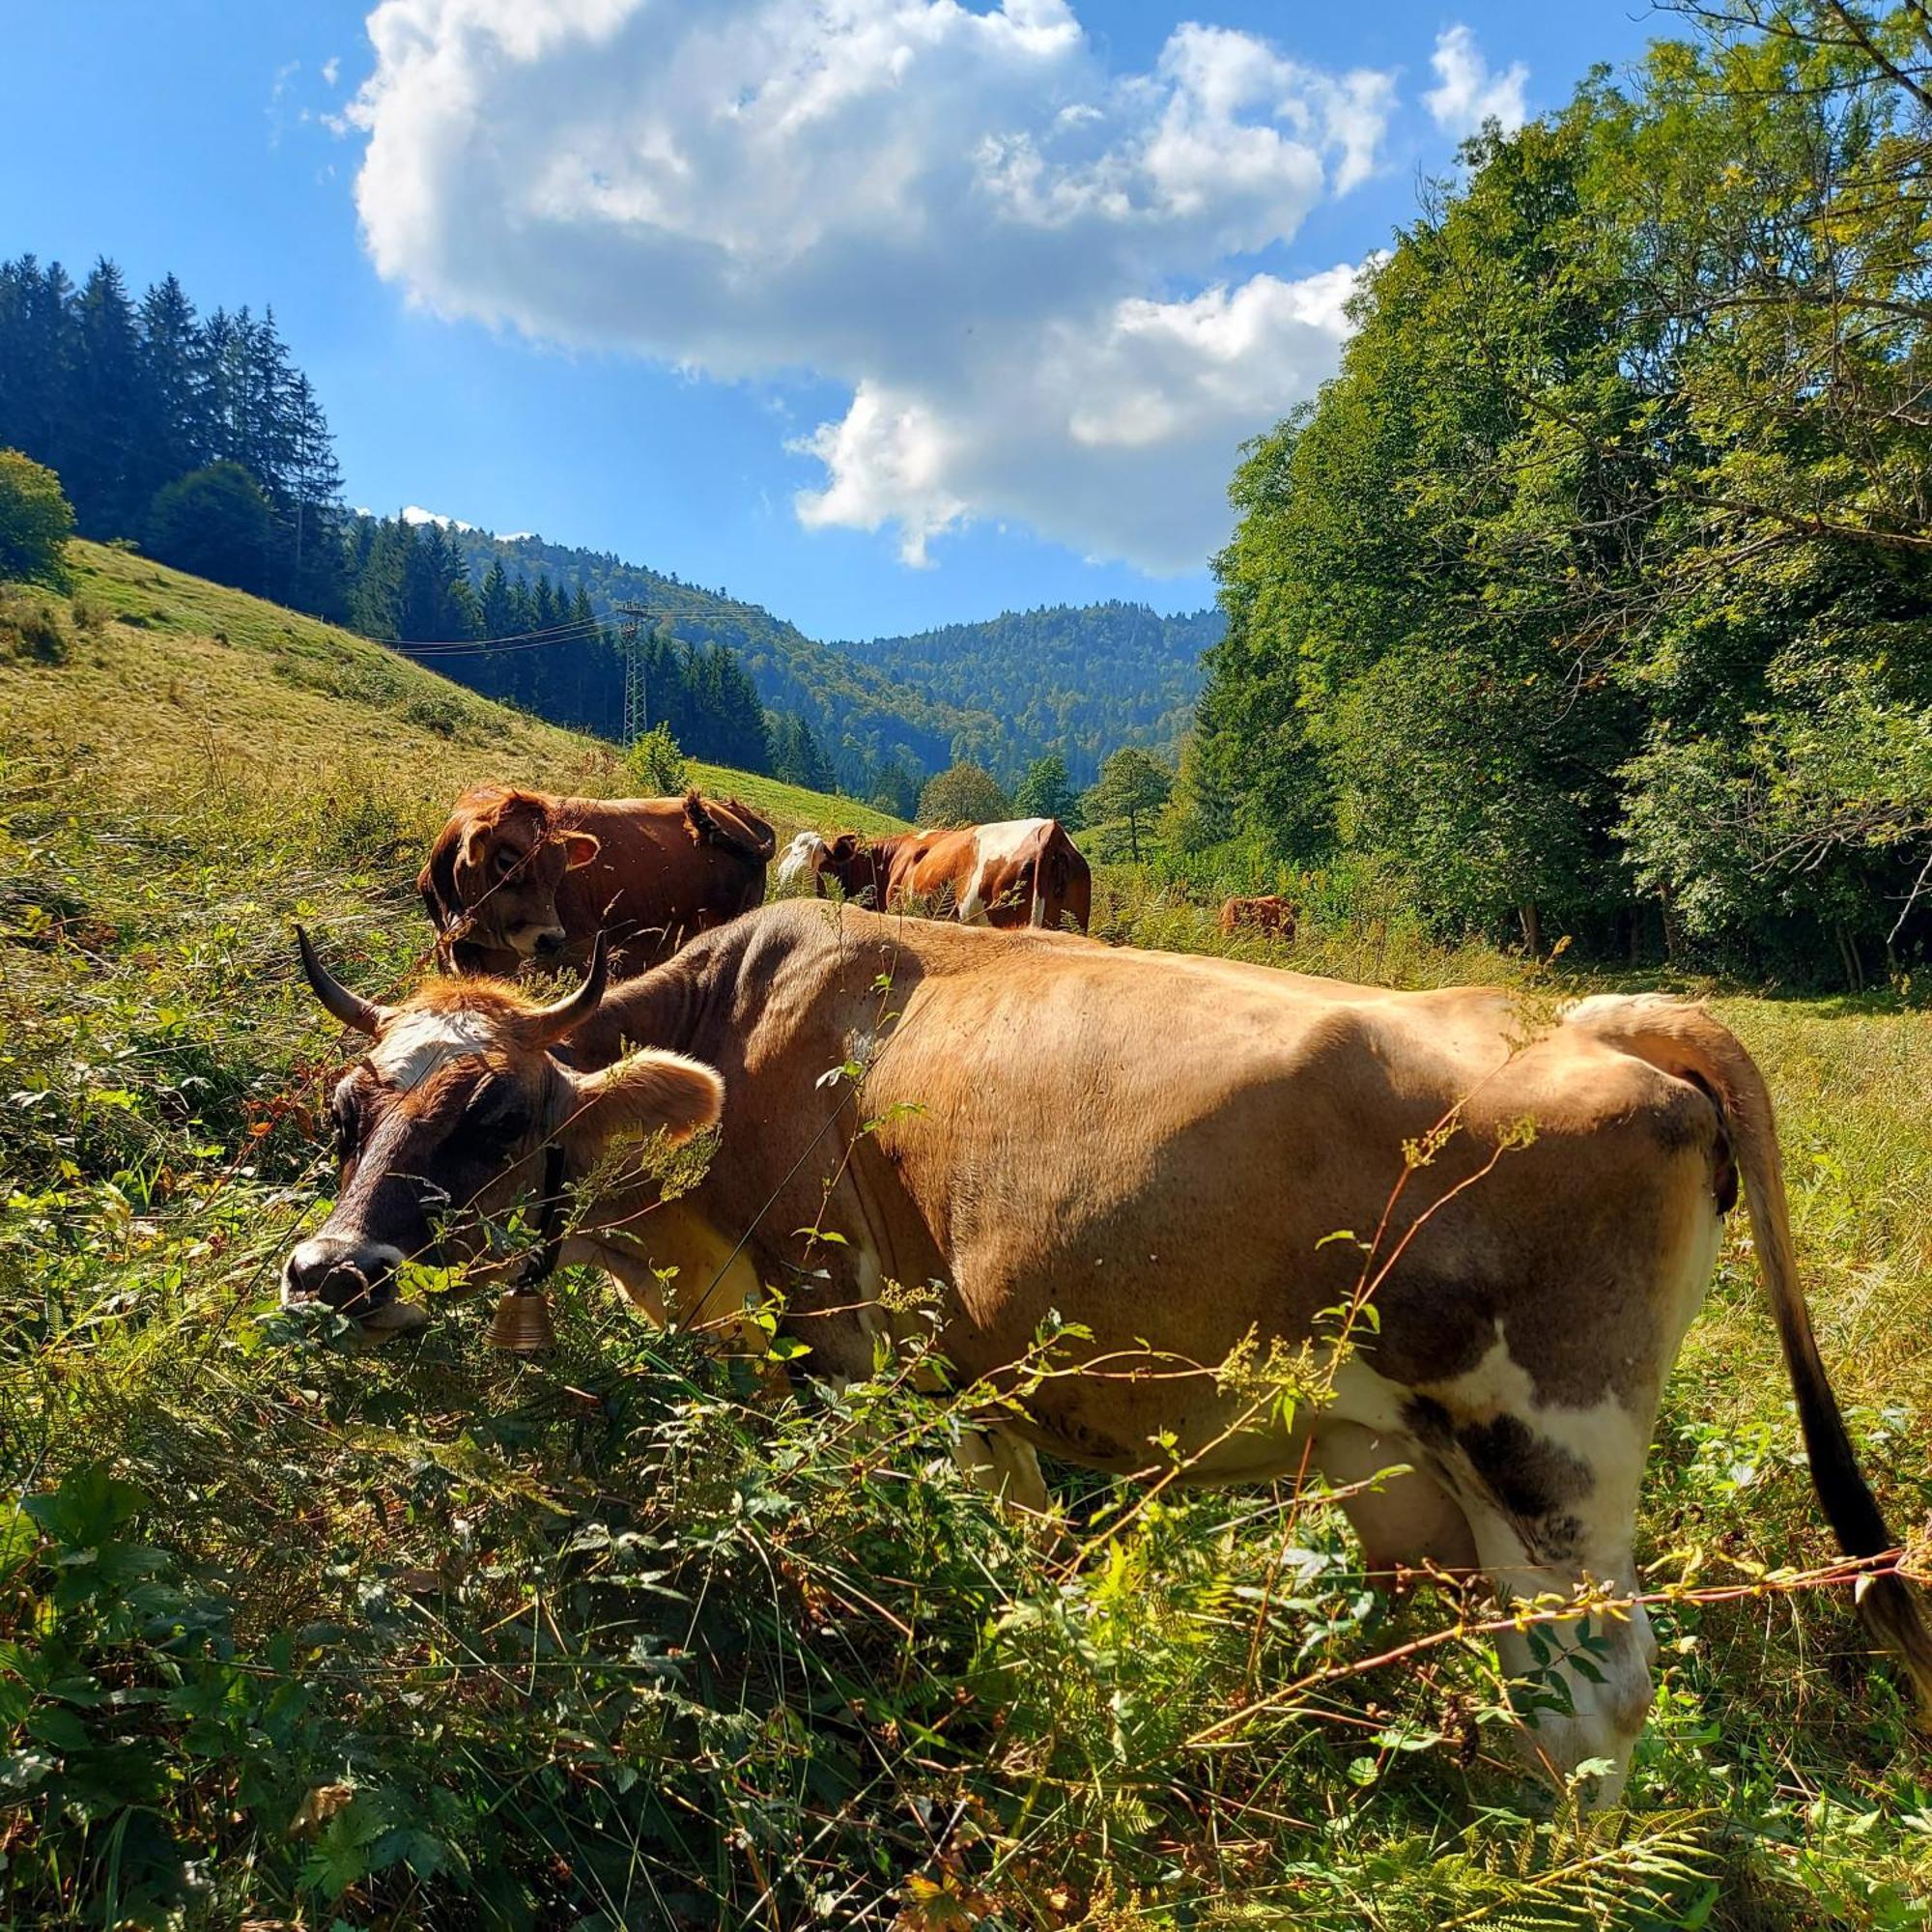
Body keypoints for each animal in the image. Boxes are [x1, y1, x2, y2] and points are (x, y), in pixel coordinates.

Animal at [286, 896, 1932, 1801]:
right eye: (349, 1110)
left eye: (498, 1117)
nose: (327, 1274)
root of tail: (1605, 1021)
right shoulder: (970, 1371)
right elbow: (1021, 1553)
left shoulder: (835, 1334)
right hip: (1414, 1474)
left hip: (1549, 1465)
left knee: (1598, 1700)